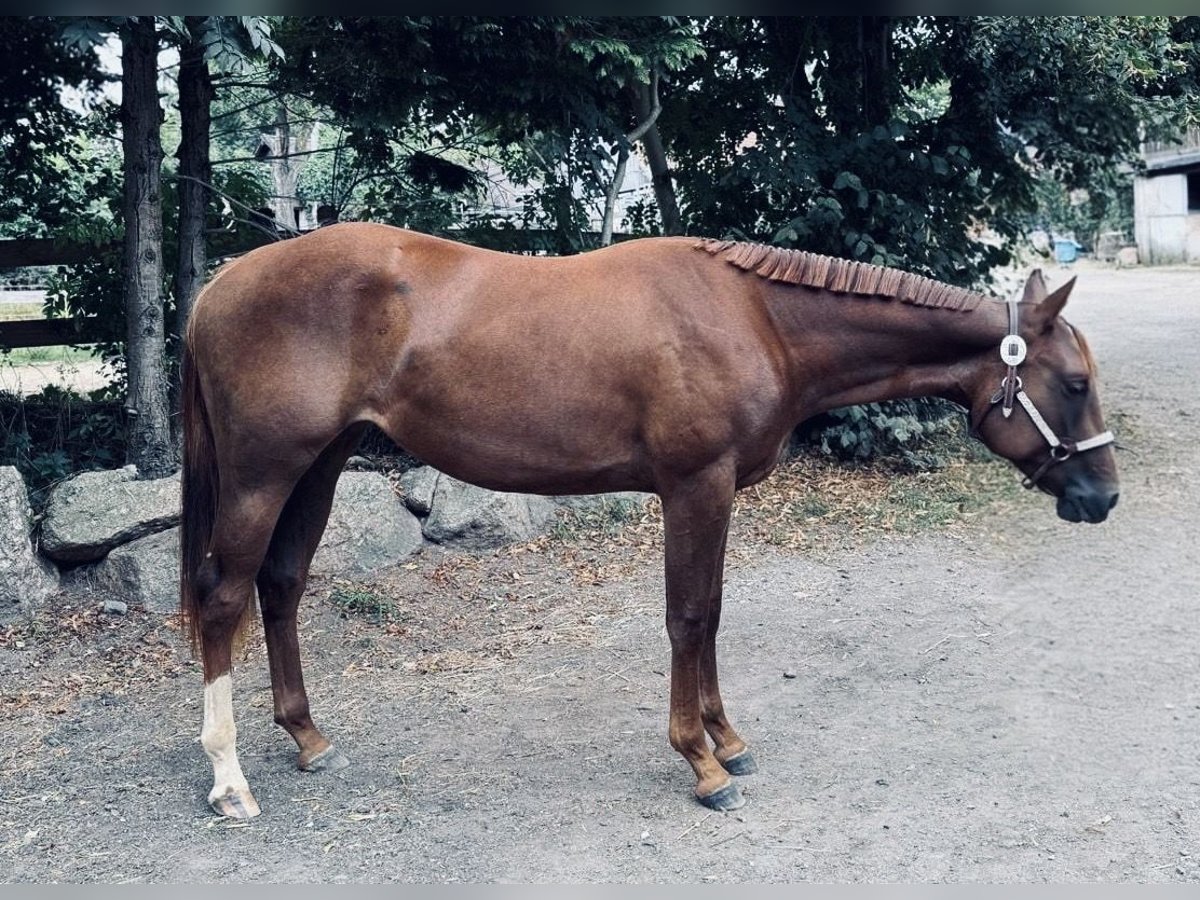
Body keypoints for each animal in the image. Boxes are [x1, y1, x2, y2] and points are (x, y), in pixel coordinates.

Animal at [180, 222, 1119, 818]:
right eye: (1073, 383)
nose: (1103, 497)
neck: (758, 318)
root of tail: (218, 285)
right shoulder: (695, 486)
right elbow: (688, 616)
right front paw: (701, 763)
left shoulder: (720, 491)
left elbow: (713, 615)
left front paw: (727, 738)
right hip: (266, 474)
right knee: (223, 598)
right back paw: (228, 780)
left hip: (320, 465)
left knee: (281, 586)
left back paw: (308, 738)